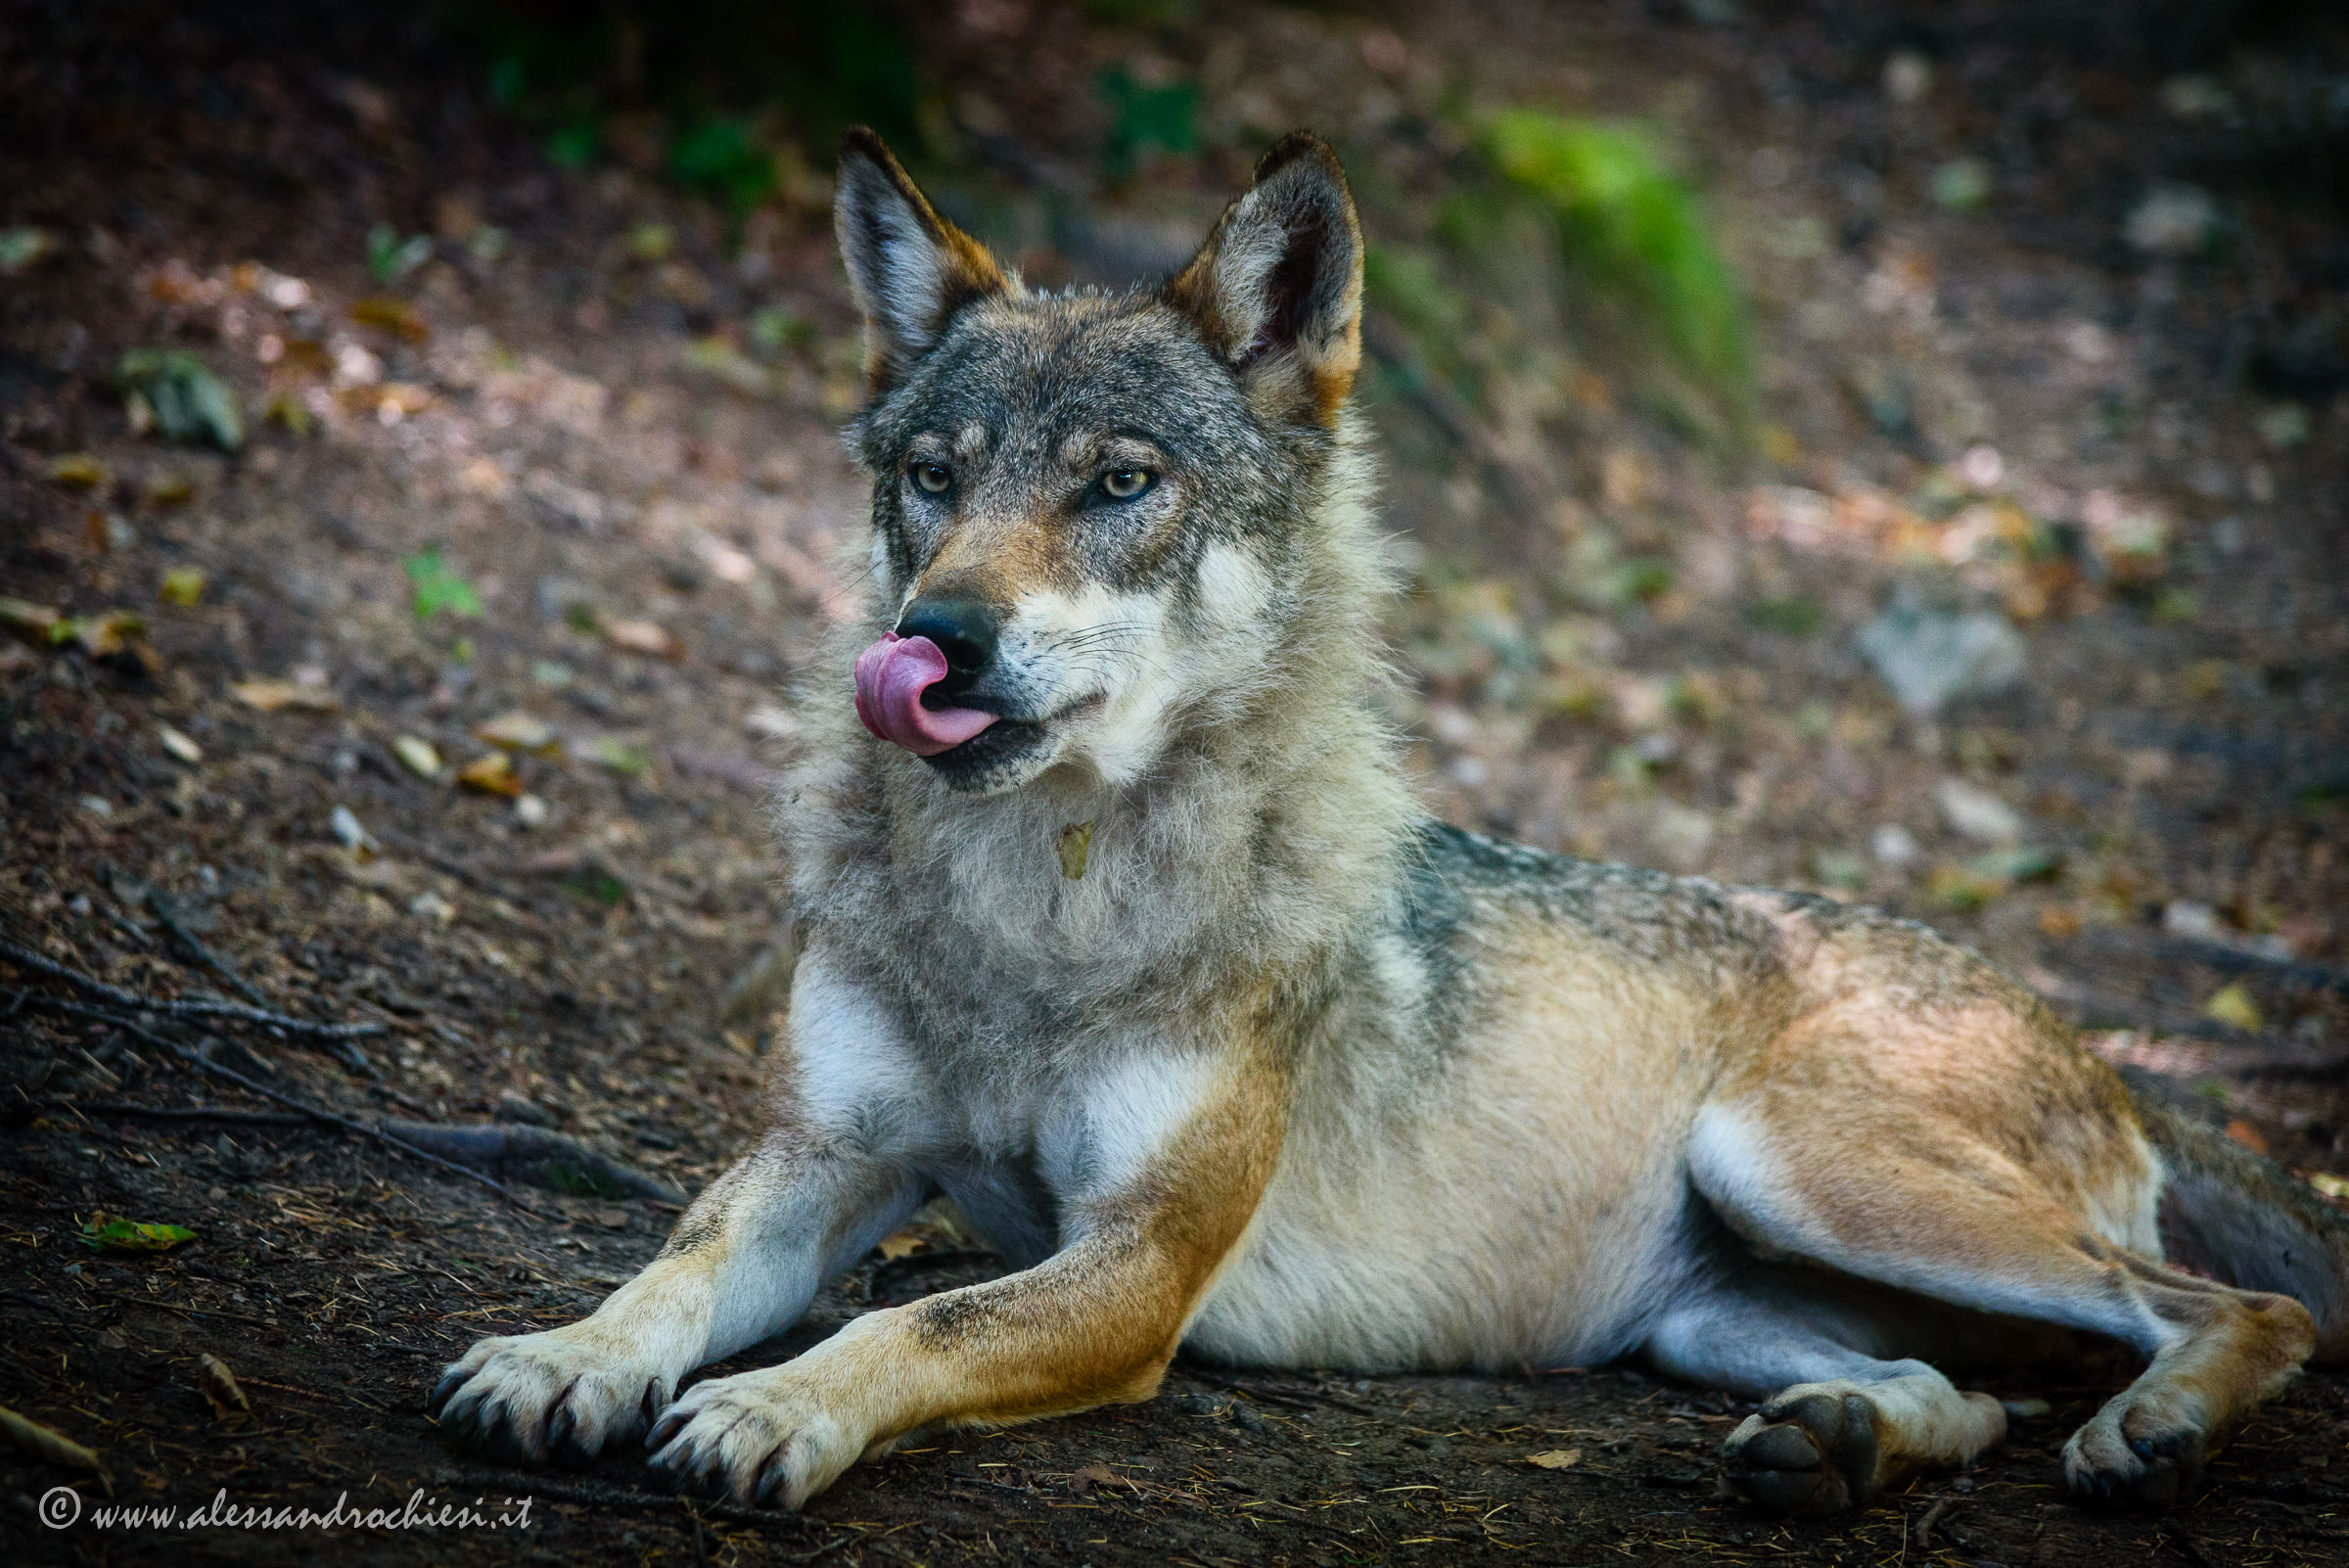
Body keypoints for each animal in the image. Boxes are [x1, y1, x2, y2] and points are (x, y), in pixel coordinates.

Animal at [431, 128, 2349, 1518]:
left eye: (1119, 482)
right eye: (933, 477)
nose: (936, 640)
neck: (1041, 903)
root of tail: (2096, 1045)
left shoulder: (1136, 1263)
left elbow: (917, 1310)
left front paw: (772, 1407)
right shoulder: (824, 1160)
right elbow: (671, 1268)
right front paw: (559, 1358)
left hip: (1813, 1167)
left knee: (2244, 1309)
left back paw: (2152, 1428)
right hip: (1719, 1308)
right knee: (1957, 1392)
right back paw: (1836, 1447)